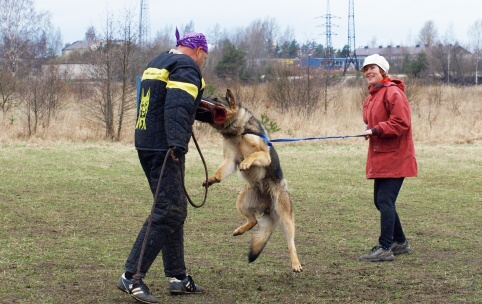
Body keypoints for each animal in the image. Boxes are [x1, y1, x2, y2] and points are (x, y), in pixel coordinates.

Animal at [202, 89, 302, 272]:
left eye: (216, 100)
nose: (201, 97)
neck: (238, 131)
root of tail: (269, 205)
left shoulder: (264, 156)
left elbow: (253, 155)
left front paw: (246, 162)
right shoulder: (229, 161)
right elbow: (221, 171)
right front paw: (212, 179)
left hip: (285, 217)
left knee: (291, 242)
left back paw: (295, 263)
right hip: (241, 202)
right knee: (254, 220)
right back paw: (240, 230)